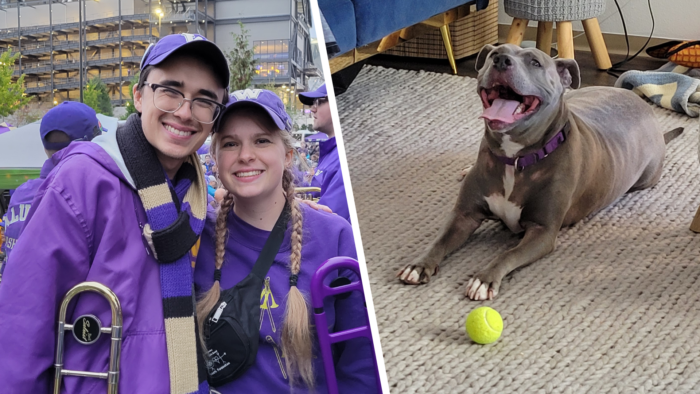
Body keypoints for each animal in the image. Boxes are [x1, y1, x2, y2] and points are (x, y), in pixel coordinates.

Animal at [400, 43, 684, 302]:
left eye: (535, 62)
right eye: (495, 54)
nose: (501, 61)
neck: (514, 159)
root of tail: (643, 106)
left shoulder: (542, 232)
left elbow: (508, 254)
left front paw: (484, 279)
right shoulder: (464, 215)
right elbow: (440, 239)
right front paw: (419, 265)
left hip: (645, 179)